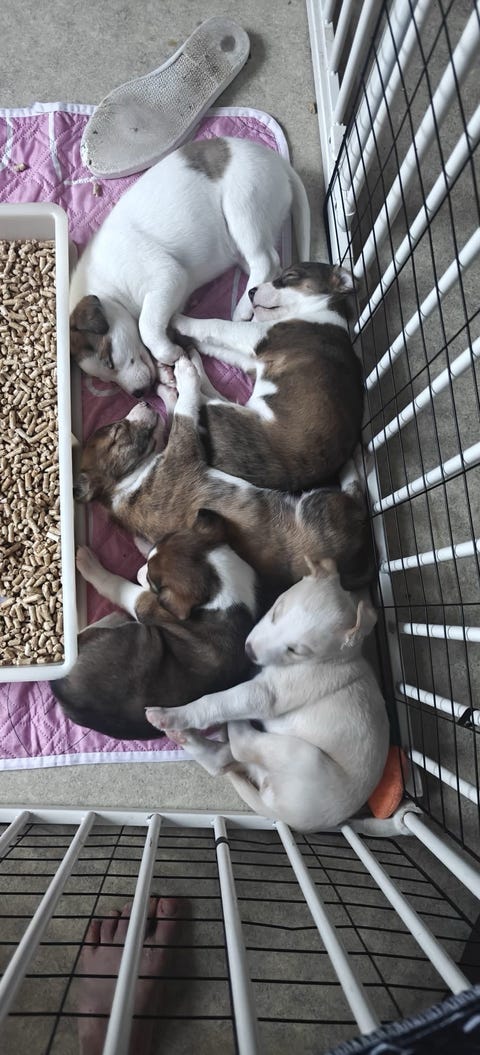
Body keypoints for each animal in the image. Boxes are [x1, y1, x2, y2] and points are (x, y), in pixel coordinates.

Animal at [51, 511, 257, 739]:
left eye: (151, 578)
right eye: (149, 558)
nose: (139, 572)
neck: (220, 589)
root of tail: (62, 690)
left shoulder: (147, 605)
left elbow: (121, 587)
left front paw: (90, 565)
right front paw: (142, 541)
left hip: (136, 637)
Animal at [69, 136, 310, 397]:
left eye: (109, 360)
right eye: (104, 379)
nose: (139, 394)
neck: (107, 287)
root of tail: (276, 159)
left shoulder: (166, 277)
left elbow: (146, 326)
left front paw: (169, 354)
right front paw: (166, 370)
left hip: (244, 207)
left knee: (266, 259)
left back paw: (243, 309)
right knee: (271, 265)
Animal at [73, 356, 376, 596]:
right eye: (117, 431)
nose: (146, 402)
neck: (124, 485)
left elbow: (174, 410)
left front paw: (167, 385)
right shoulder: (183, 446)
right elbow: (184, 410)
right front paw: (185, 373)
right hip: (319, 506)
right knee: (355, 490)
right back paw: (353, 461)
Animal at [146, 558, 390, 833]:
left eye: (295, 650)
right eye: (276, 611)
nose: (249, 651)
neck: (335, 658)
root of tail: (283, 816)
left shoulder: (266, 693)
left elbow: (215, 701)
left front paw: (171, 714)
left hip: (302, 756)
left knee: (240, 746)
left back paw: (220, 725)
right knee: (221, 761)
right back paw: (182, 736)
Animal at [172, 261, 363, 490]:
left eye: (290, 276)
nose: (251, 291)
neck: (319, 310)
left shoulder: (257, 336)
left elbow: (215, 324)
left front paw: (178, 320)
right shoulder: (251, 361)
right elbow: (214, 346)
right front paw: (191, 341)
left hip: (224, 413)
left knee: (197, 398)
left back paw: (185, 374)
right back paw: (191, 354)